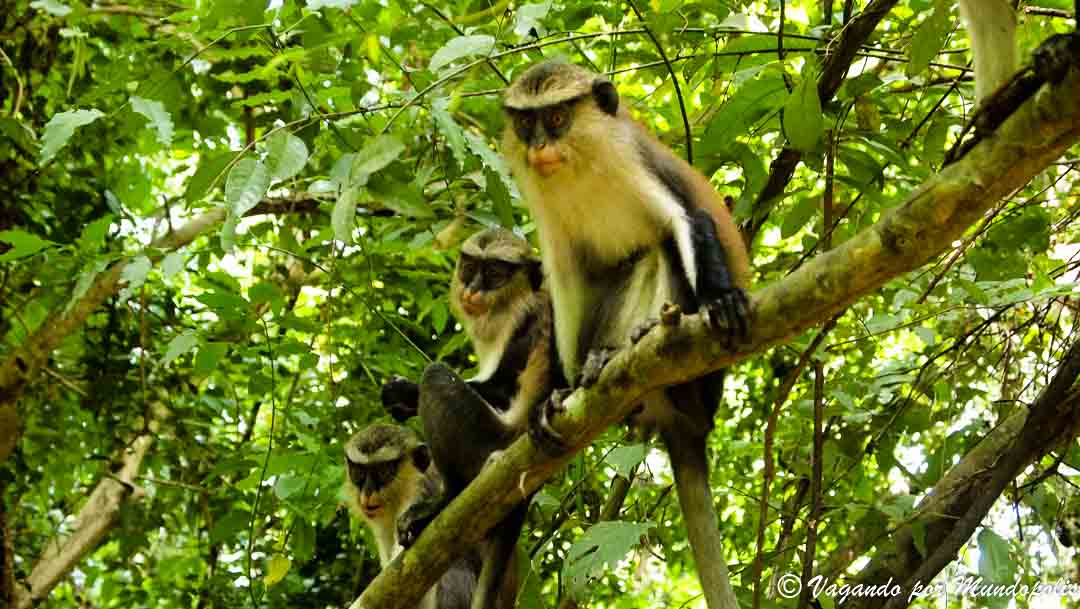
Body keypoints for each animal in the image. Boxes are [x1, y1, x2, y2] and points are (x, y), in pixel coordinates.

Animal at [380, 227, 563, 609]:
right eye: (469, 267)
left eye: (494, 273)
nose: (473, 289)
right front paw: (402, 393)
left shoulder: (529, 318)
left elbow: (500, 388)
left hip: (485, 443)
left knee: (437, 377)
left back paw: (441, 503)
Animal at [501, 60, 752, 609]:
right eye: (527, 124)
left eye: (557, 118)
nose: (538, 147)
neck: (578, 167)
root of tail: (694, 423)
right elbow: (563, 280)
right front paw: (555, 395)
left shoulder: (637, 164)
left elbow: (687, 221)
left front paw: (723, 298)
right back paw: (592, 371)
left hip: (697, 384)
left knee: (658, 250)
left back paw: (635, 340)